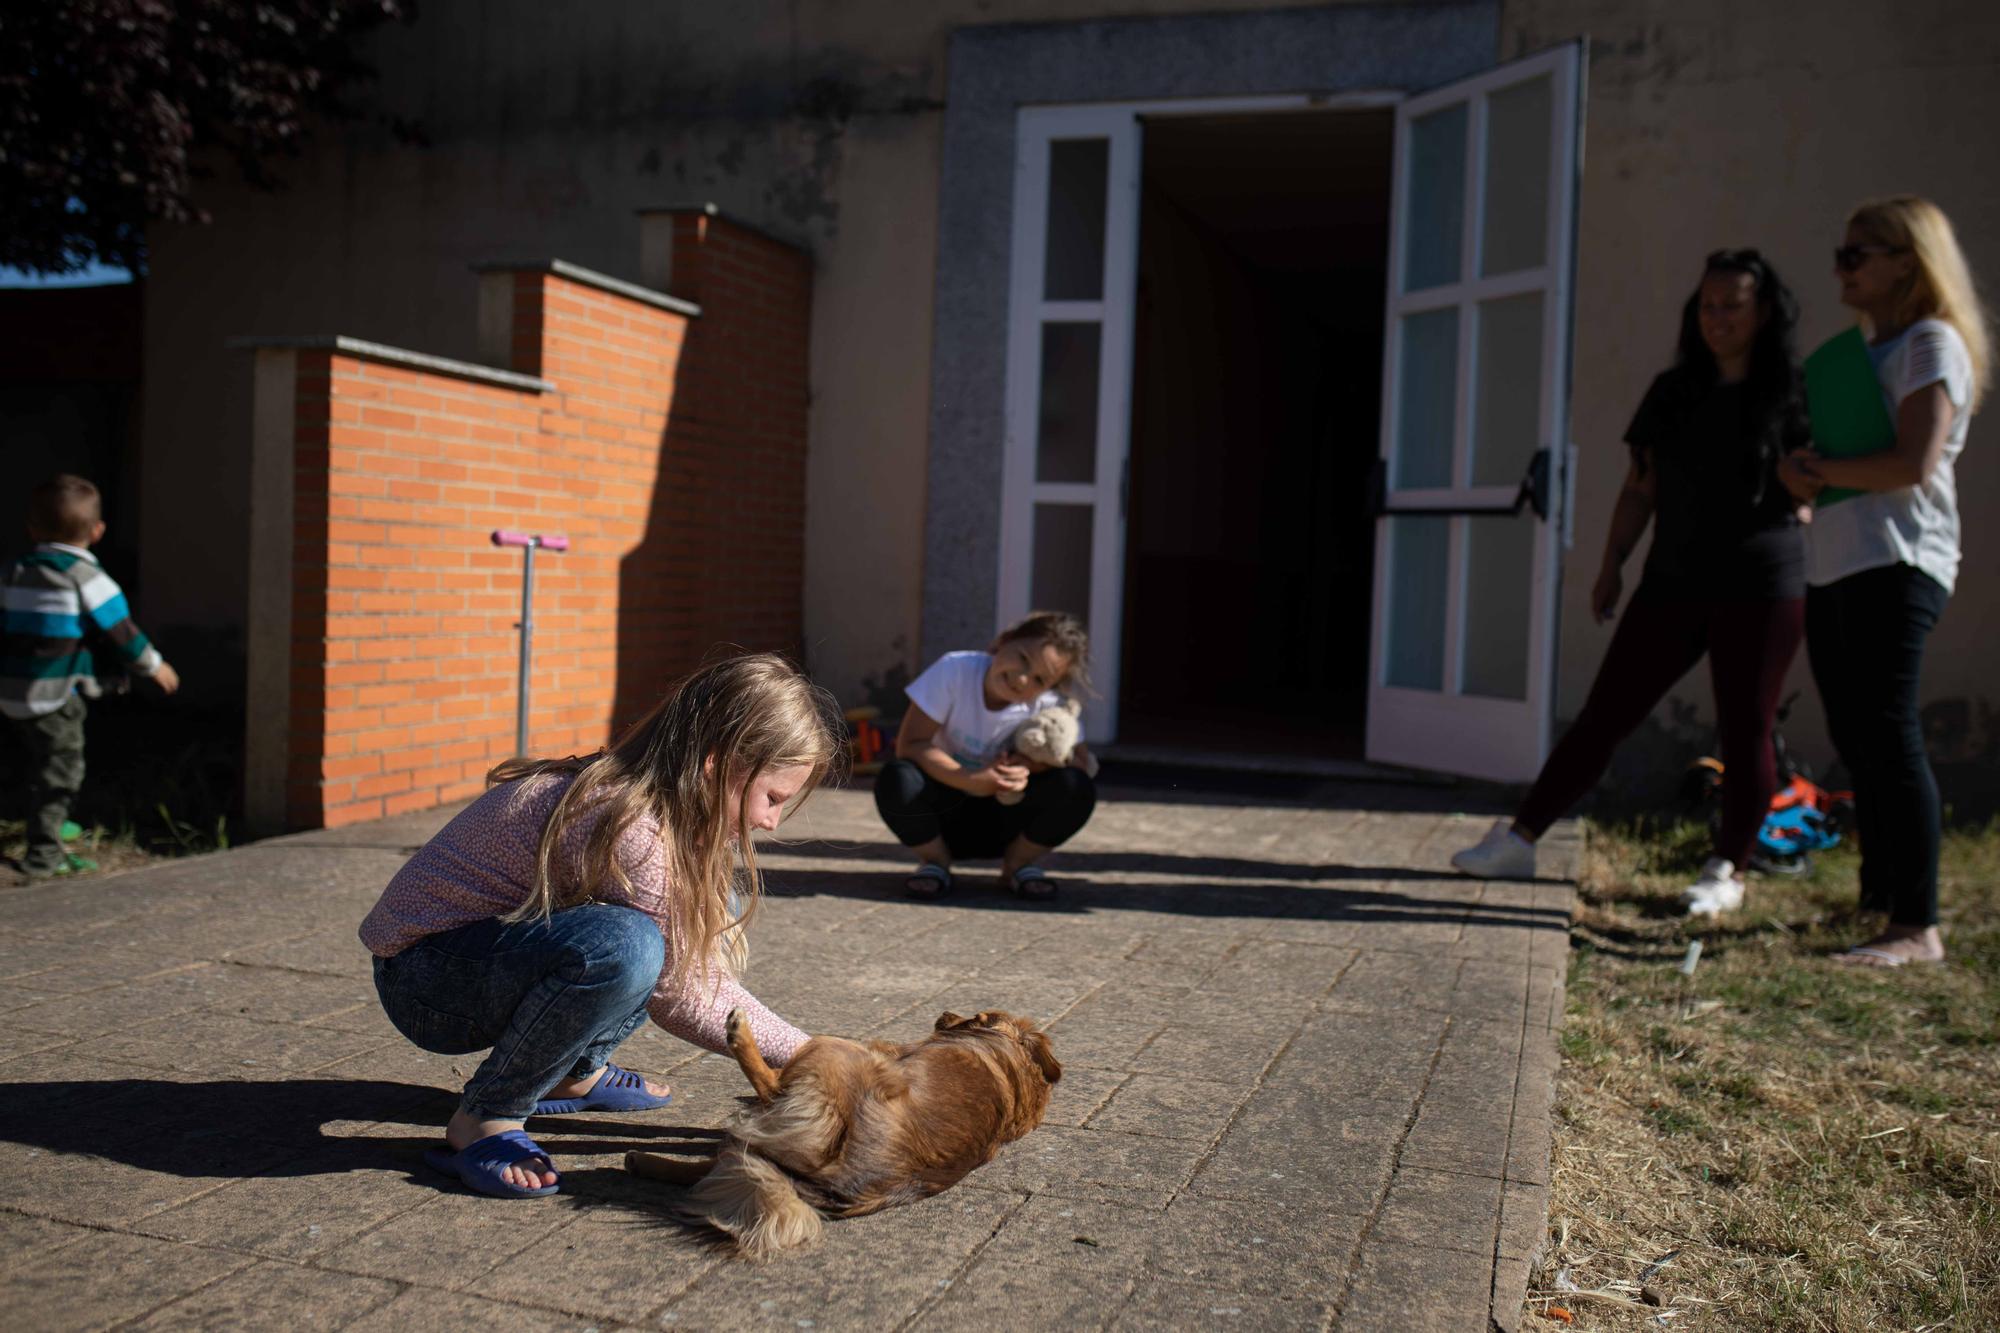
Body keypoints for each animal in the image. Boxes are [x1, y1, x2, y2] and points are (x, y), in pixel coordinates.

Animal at [632, 1000, 1064, 1248]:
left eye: (971, 1013)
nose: (942, 1013)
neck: (1010, 1058)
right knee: (721, 1159)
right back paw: (640, 1160)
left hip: (835, 1050)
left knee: (764, 1093)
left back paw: (741, 1034)